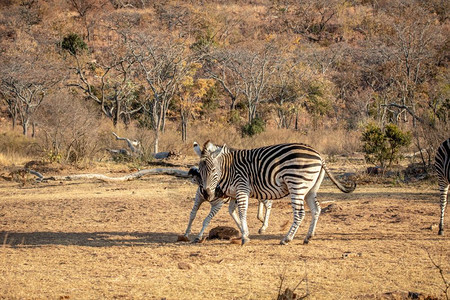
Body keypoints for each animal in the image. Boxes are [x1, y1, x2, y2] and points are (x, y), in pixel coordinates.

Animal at [195, 142, 356, 245]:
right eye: (200, 171)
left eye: (214, 171)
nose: (206, 194)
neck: (228, 169)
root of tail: (319, 155)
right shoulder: (234, 194)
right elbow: (232, 212)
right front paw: (244, 232)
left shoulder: (242, 188)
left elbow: (242, 212)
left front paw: (245, 236)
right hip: (311, 189)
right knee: (316, 209)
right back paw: (308, 237)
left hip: (296, 185)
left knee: (300, 213)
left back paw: (286, 239)